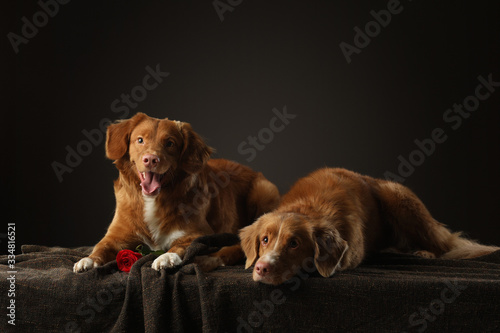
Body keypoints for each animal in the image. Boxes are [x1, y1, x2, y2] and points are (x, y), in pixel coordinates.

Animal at [73, 113, 282, 272]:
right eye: (140, 140)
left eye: (170, 143)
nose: (151, 159)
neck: (153, 199)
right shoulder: (116, 236)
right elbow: (101, 247)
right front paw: (88, 260)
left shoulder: (200, 233)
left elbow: (182, 245)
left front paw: (166, 257)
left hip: (263, 191)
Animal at [240, 167, 498, 284]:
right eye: (264, 240)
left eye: (294, 244)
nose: (261, 268)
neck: (309, 208)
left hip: (399, 197)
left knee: (443, 245)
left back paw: (425, 252)